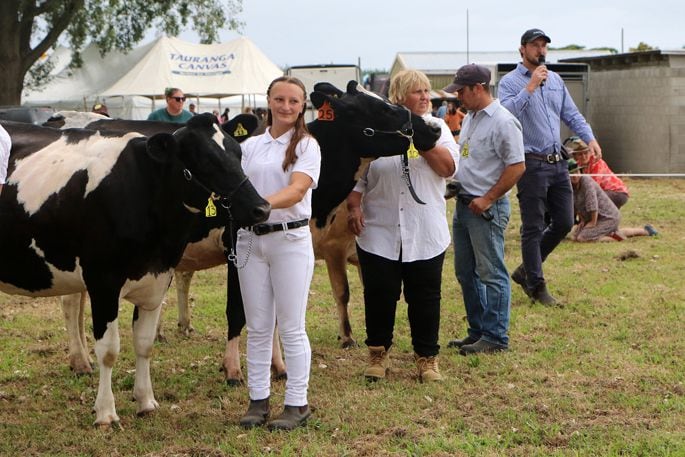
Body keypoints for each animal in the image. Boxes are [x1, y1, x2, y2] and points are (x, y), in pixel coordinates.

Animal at [0, 113, 270, 424]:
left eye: (238, 154)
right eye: (204, 160)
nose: (262, 208)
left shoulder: (157, 278)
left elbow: (144, 343)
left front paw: (146, 401)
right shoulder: (103, 282)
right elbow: (109, 350)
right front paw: (106, 412)